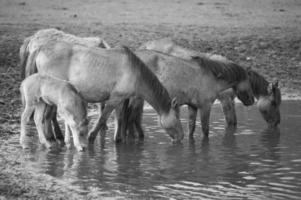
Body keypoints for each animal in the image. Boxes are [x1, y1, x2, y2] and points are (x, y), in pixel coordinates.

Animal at [25, 41, 183, 145]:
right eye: (177, 118)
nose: (181, 137)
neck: (134, 71)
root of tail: (41, 48)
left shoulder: (122, 99)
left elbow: (120, 118)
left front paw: (119, 140)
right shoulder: (114, 99)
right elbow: (103, 118)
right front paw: (91, 137)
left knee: (48, 117)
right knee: (48, 116)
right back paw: (52, 138)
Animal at [113, 49, 254, 141]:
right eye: (249, 81)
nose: (252, 100)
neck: (212, 77)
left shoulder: (192, 106)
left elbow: (191, 129)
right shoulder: (205, 107)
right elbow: (205, 131)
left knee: (130, 119)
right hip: (137, 99)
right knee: (131, 118)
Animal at [139, 38, 280, 130]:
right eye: (273, 103)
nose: (277, 123)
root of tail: (143, 46)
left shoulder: (230, 101)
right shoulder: (224, 101)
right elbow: (230, 122)